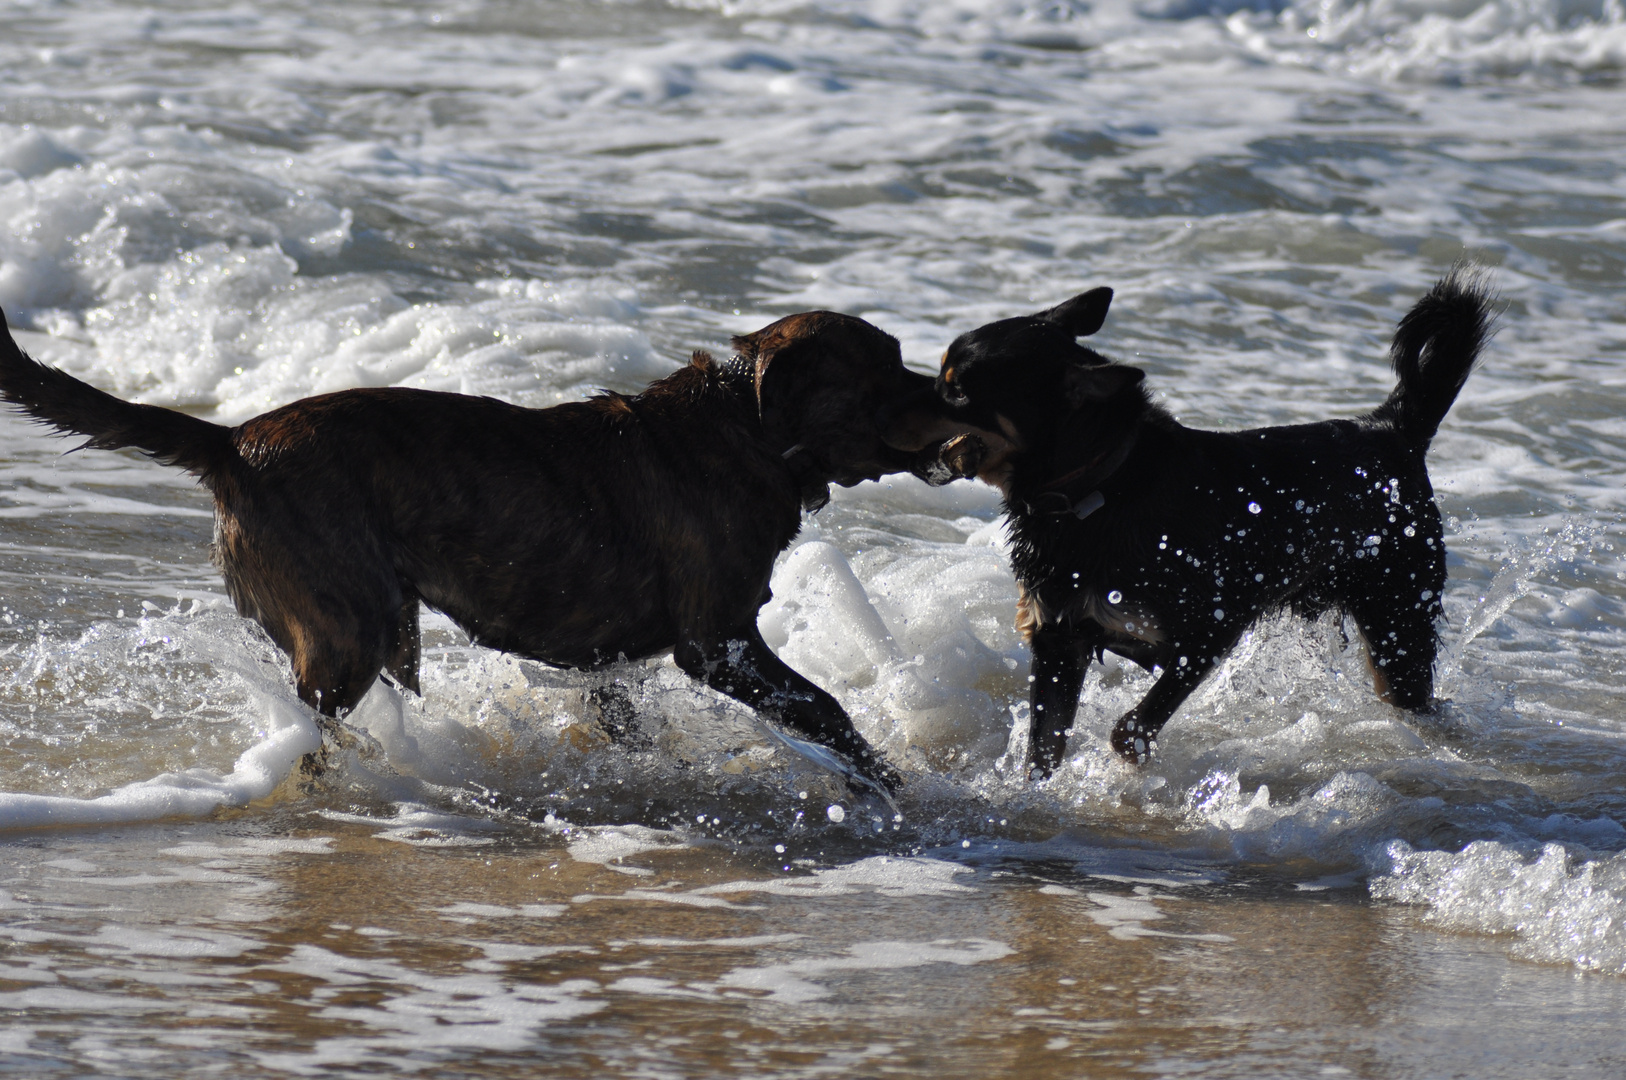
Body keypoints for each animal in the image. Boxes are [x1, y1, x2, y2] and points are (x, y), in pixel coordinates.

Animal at [0, 307, 930, 790]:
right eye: (884, 369)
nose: (950, 386)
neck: (749, 428)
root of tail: (233, 441)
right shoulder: (719, 642)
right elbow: (827, 708)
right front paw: (886, 785)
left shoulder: (615, 665)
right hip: (349, 627)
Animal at [884, 271, 1489, 777]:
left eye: (957, 389)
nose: (881, 399)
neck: (1098, 487)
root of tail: (1393, 427)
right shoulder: (1057, 640)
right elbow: (1043, 749)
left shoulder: (1210, 629)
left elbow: (1129, 728)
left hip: (1398, 622)